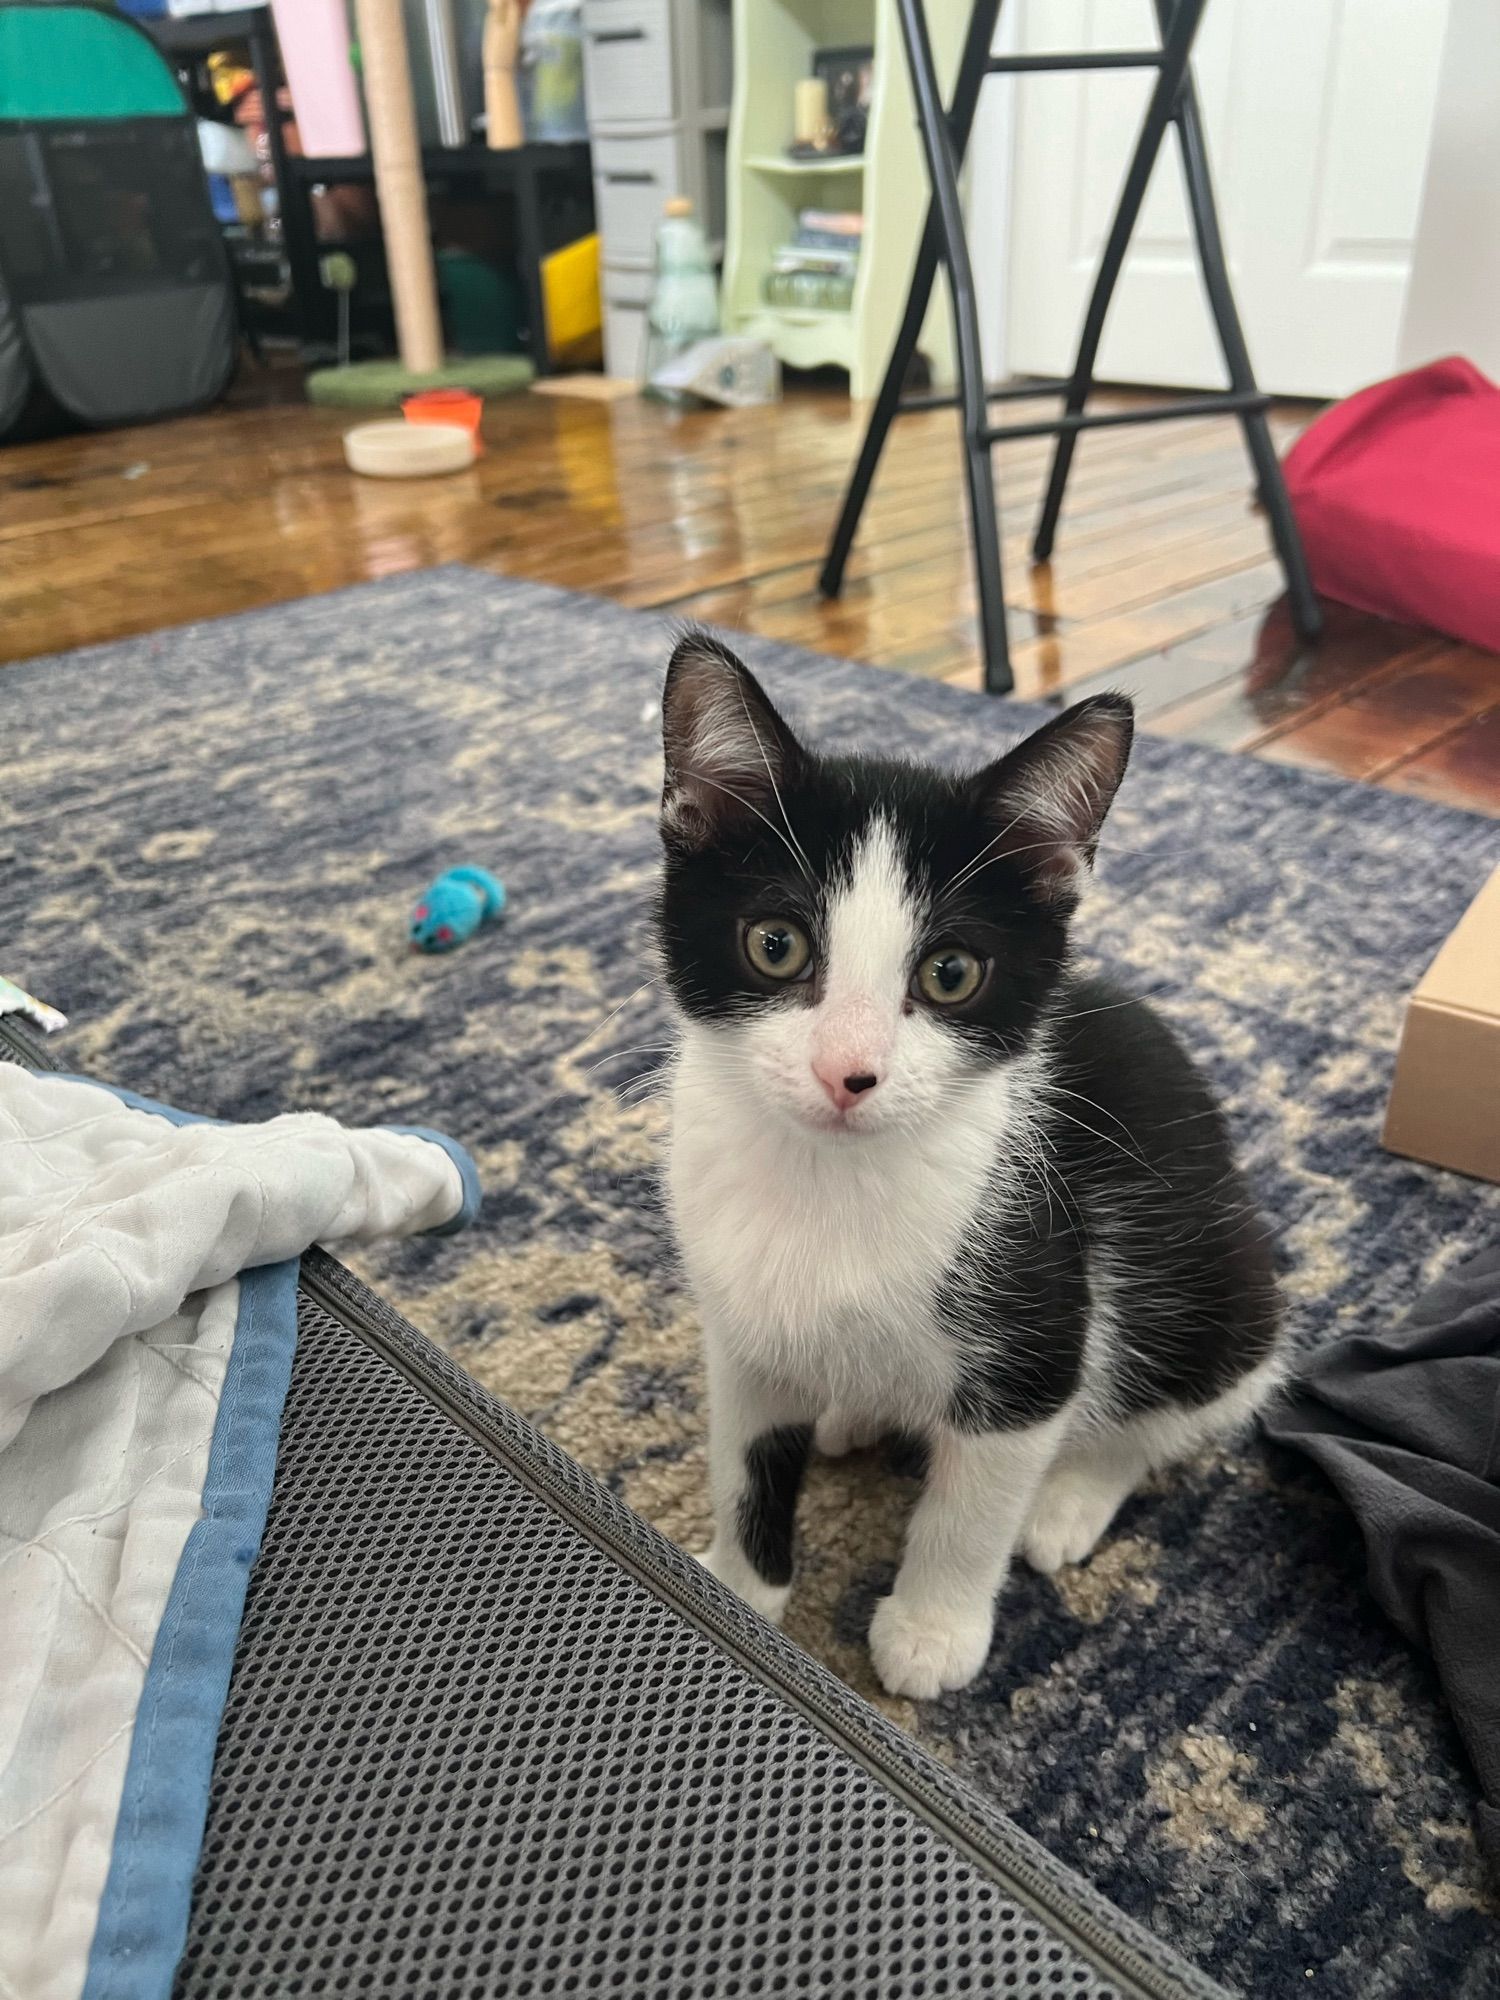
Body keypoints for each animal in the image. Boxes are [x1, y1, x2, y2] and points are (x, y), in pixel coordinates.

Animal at [656, 632, 1280, 1696]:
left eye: (950, 973)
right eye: (775, 944)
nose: (847, 1074)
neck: (827, 1182)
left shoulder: (1035, 1329)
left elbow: (972, 1504)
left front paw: (932, 1630)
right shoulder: (740, 1330)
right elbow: (745, 1464)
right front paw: (736, 1591)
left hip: (1219, 1296)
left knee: (1162, 1409)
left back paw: (1071, 1500)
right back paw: (853, 1412)